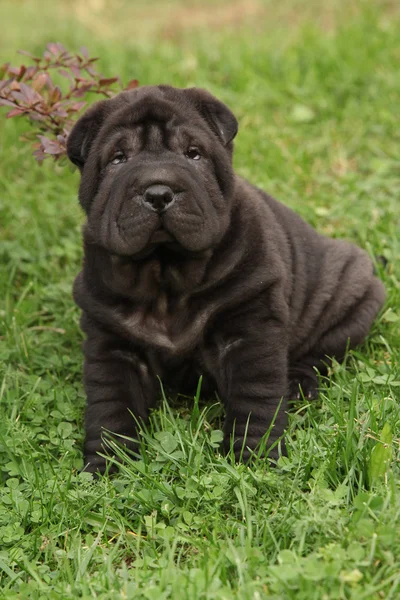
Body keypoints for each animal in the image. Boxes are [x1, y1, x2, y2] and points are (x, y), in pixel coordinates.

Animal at [67, 85, 386, 474]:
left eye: (193, 154)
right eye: (118, 159)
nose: (158, 192)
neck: (166, 275)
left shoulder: (250, 327)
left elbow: (255, 395)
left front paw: (254, 456)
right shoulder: (112, 342)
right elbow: (112, 405)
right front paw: (109, 466)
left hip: (353, 293)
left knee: (320, 351)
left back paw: (297, 384)